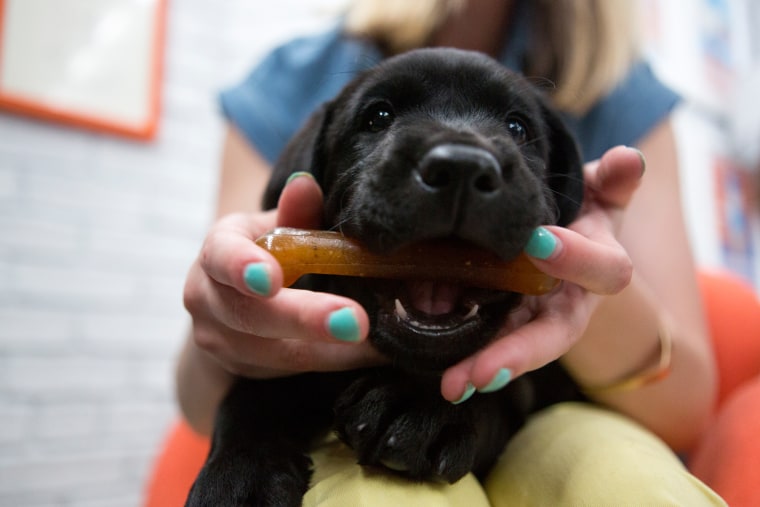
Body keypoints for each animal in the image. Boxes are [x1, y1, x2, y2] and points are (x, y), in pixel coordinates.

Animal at [187, 48, 584, 507]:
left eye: (518, 127)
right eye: (378, 117)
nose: (462, 166)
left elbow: (497, 387)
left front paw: (420, 404)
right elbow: (250, 395)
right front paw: (239, 473)